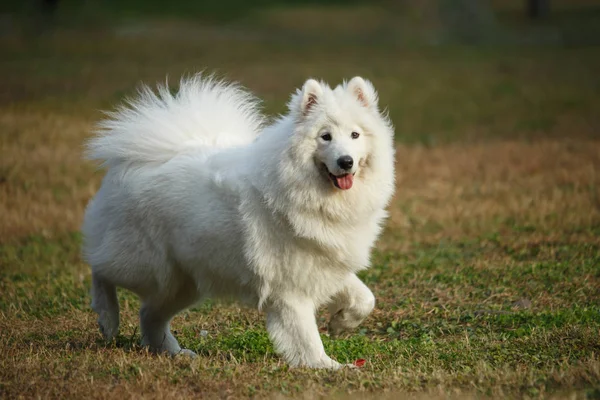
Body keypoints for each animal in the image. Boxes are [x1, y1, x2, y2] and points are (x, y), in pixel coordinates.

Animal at [82, 74, 396, 368]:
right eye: (325, 137)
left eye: (355, 135)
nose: (346, 162)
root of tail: (138, 161)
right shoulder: (290, 287)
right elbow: (306, 336)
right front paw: (327, 366)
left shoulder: (323, 265)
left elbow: (366, 298)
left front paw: (341, 324)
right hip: (144, 264)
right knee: (100, 269)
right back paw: (108, 320)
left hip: (181, 282)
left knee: (149, 314)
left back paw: (174, 352)